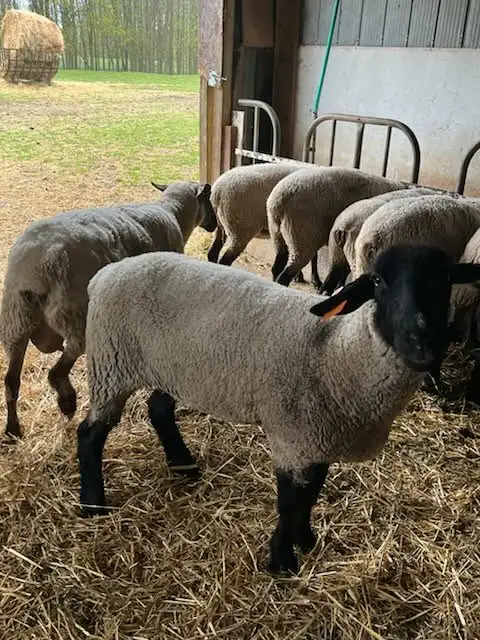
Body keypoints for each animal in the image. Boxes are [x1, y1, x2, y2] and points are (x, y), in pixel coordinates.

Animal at [0, 181, 216, 439]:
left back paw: (13, 429)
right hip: (73, 315)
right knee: (57, 371)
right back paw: (67, 402)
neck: (174, 213)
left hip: (16, 321)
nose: (214, 225)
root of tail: (35, 268)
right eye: (209, 200)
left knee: (11, 381)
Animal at [76, 245, 480, 575]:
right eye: (378, 281)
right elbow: (288, 501)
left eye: (447, 279)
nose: (423, 343)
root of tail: (105, 274)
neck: (334, 350)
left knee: (159, 407)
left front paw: (306, 540)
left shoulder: (317, 435)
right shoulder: (291, 436)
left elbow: (313, 490)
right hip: (111, 365)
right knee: (90, 432)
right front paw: (282, 560)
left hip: (171, 368)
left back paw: (183, 464)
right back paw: (93, 503)